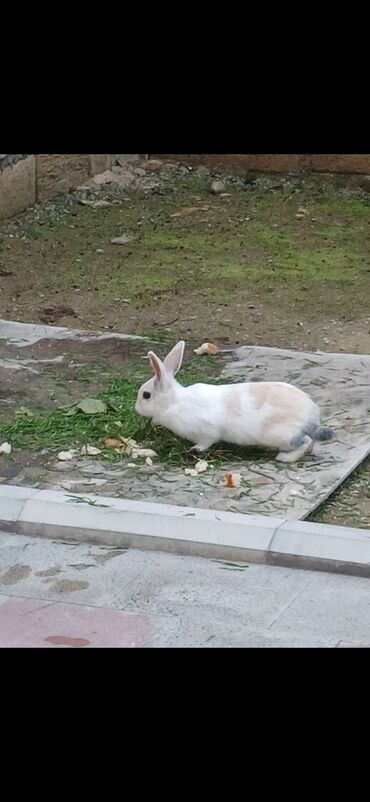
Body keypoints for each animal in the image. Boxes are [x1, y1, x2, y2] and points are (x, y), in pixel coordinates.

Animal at [134, 340, 334, 462]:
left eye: (146, 395)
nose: (136, 409)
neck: (174, 403)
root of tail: (311, 418)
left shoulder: (206, 432)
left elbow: (205, 442)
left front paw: (195, 450)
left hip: (282, 435)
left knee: (306, 441)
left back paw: (284, 458)